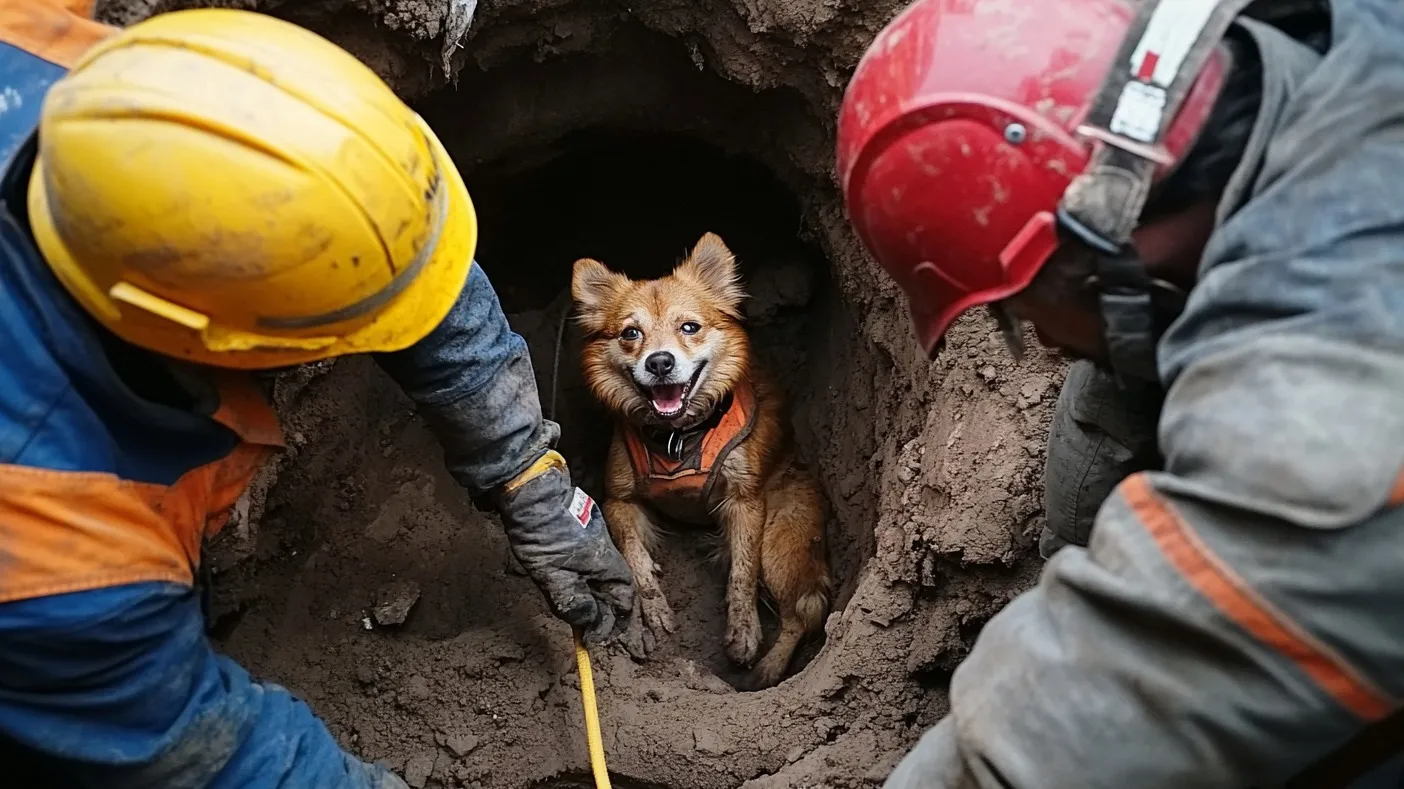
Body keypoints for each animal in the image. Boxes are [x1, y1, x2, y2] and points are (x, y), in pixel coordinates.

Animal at [570, 230, 831, 685]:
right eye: (630, 333)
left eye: (689, 327)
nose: (659, 362)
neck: (678, 437)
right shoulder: (618, 501)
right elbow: (635, 559)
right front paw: (653, 607)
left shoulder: (746, 503)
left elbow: (742, 571)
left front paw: (744, 632)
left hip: (780, 542)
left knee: (802, 613)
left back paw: (769, 669)